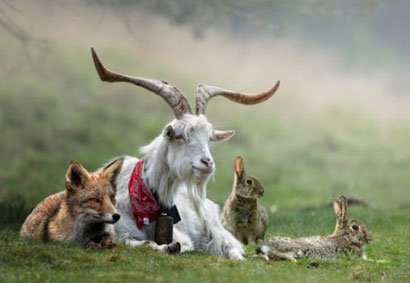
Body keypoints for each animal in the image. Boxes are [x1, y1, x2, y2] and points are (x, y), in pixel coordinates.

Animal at [91, 47, 280, 260]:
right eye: (179, 135)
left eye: (209, 138)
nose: (207, 163)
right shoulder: (119, 231)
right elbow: (141, 243)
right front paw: (165, 247)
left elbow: (182, 243)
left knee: (230, 245)